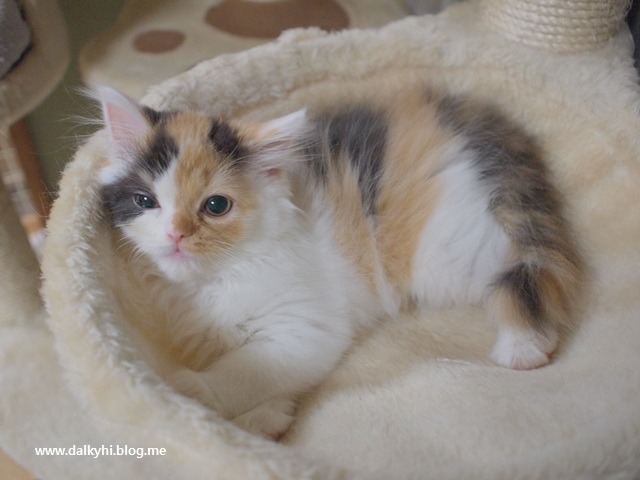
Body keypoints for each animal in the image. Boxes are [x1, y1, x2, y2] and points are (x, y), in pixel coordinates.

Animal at [96, 84, 582, 439]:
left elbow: (246, 370)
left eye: (216, 206)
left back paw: (523, 346)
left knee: (519, 267)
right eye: (146, 201)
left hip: (448, 250)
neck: (212, 281)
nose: (176, 234)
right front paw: (268, 417)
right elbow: (272, 376)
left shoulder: (304, 326)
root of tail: (463, 117)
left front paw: (191, 392)